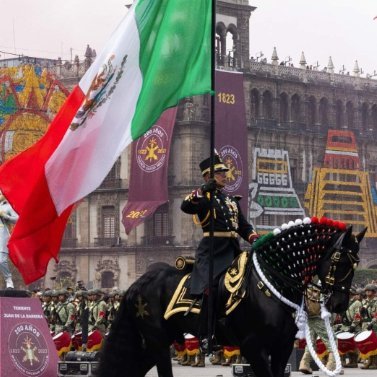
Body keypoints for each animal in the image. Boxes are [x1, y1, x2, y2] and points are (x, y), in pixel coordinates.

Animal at [99, 217, 364, 376]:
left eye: (356, 264)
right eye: (340, 260)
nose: (339, 304)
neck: (271, 281)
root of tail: (137, 283)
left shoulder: (282, 346)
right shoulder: (253, 346)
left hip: (158, 340)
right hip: (157, 339)